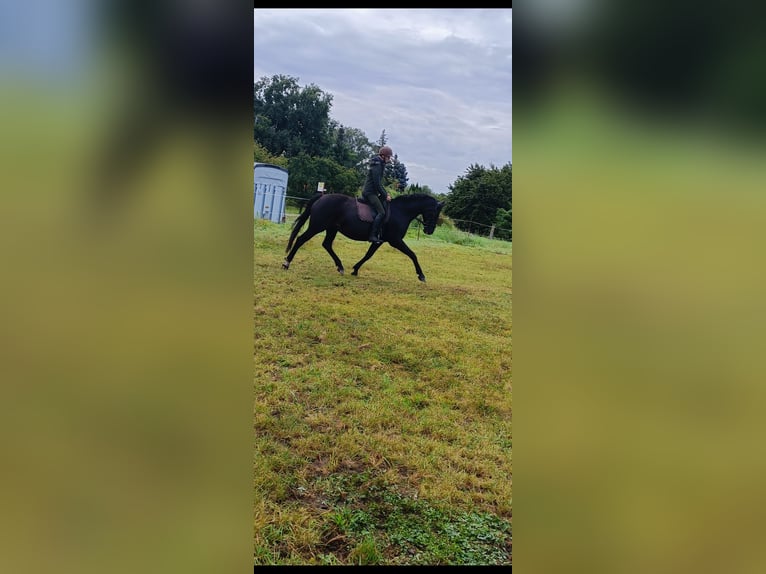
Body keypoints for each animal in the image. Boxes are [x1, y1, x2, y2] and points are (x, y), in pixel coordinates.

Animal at [282, 193, 444, 282]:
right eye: (434, 212)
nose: (430, 230)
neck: (400, 211)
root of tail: (322, 197)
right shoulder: (395, 240)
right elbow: (412, 254)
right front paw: (421, 275)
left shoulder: (379, 241)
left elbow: (368, 255)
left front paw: (355, 269)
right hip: (317, 226)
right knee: (301, 240)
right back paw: (286, 263)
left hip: (331, 229)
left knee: (327, 244)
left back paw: (340, 267)